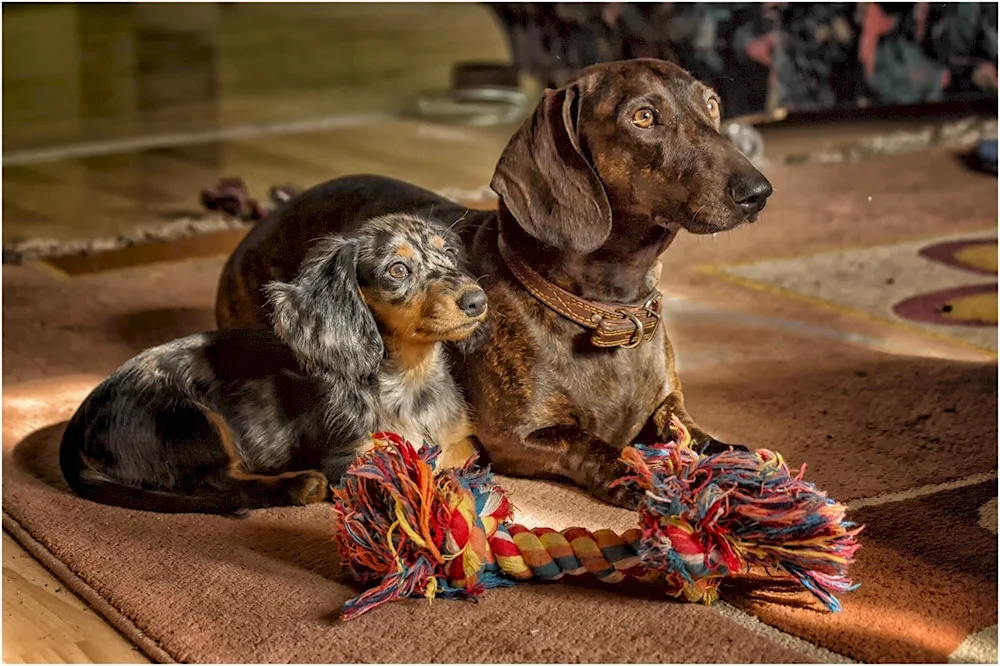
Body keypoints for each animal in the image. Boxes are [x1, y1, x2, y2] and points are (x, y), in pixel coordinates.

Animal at [58, 213, 488, 512]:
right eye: (397, 270)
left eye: (449, 253)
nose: (477, 301)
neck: (411, 379)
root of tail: (80, 417)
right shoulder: (349, 458)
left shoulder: (462, 438)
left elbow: (462, 454)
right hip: (191, 421)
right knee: (221, 483)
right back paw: (298, 485)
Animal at [211, 59, 772, 506]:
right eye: (644, 117)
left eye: (713, 104)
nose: (759, 191)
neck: (608, 313)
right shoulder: (510, 438)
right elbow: (583, 441)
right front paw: (626, 471)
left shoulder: (669, 406)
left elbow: (691, 433)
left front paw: (737, 458)